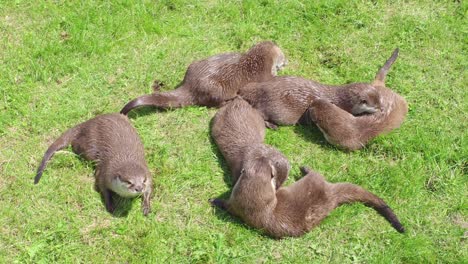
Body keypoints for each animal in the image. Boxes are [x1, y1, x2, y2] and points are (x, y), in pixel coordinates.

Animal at [120, 41, 288, 114]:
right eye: (284, 57)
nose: (287, 61)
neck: (257, 61)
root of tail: (190, 86)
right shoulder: (264, 75)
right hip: (214, 89)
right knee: (212, 104)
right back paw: (230, 100)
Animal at [210, 165, 404, 237]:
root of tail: (331, 192)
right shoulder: (236, 206)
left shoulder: (234, 204)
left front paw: (214, 200)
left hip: (315, 180)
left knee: (315, 173)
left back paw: (304, 168)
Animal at [239, 49, 400, 128]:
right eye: (375, 105)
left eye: (380, 100)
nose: (382, 109)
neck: (342, 100)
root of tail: (261, 89)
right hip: (278, 110)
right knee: (260, 112)